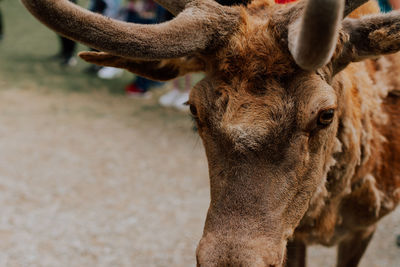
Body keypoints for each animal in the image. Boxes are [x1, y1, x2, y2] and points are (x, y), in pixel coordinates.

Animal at [21, 0, 400, 266]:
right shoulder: (294, 236)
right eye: (194, 109)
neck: (329, 215)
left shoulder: (365, 226)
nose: (231, 260)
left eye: (325, 114)